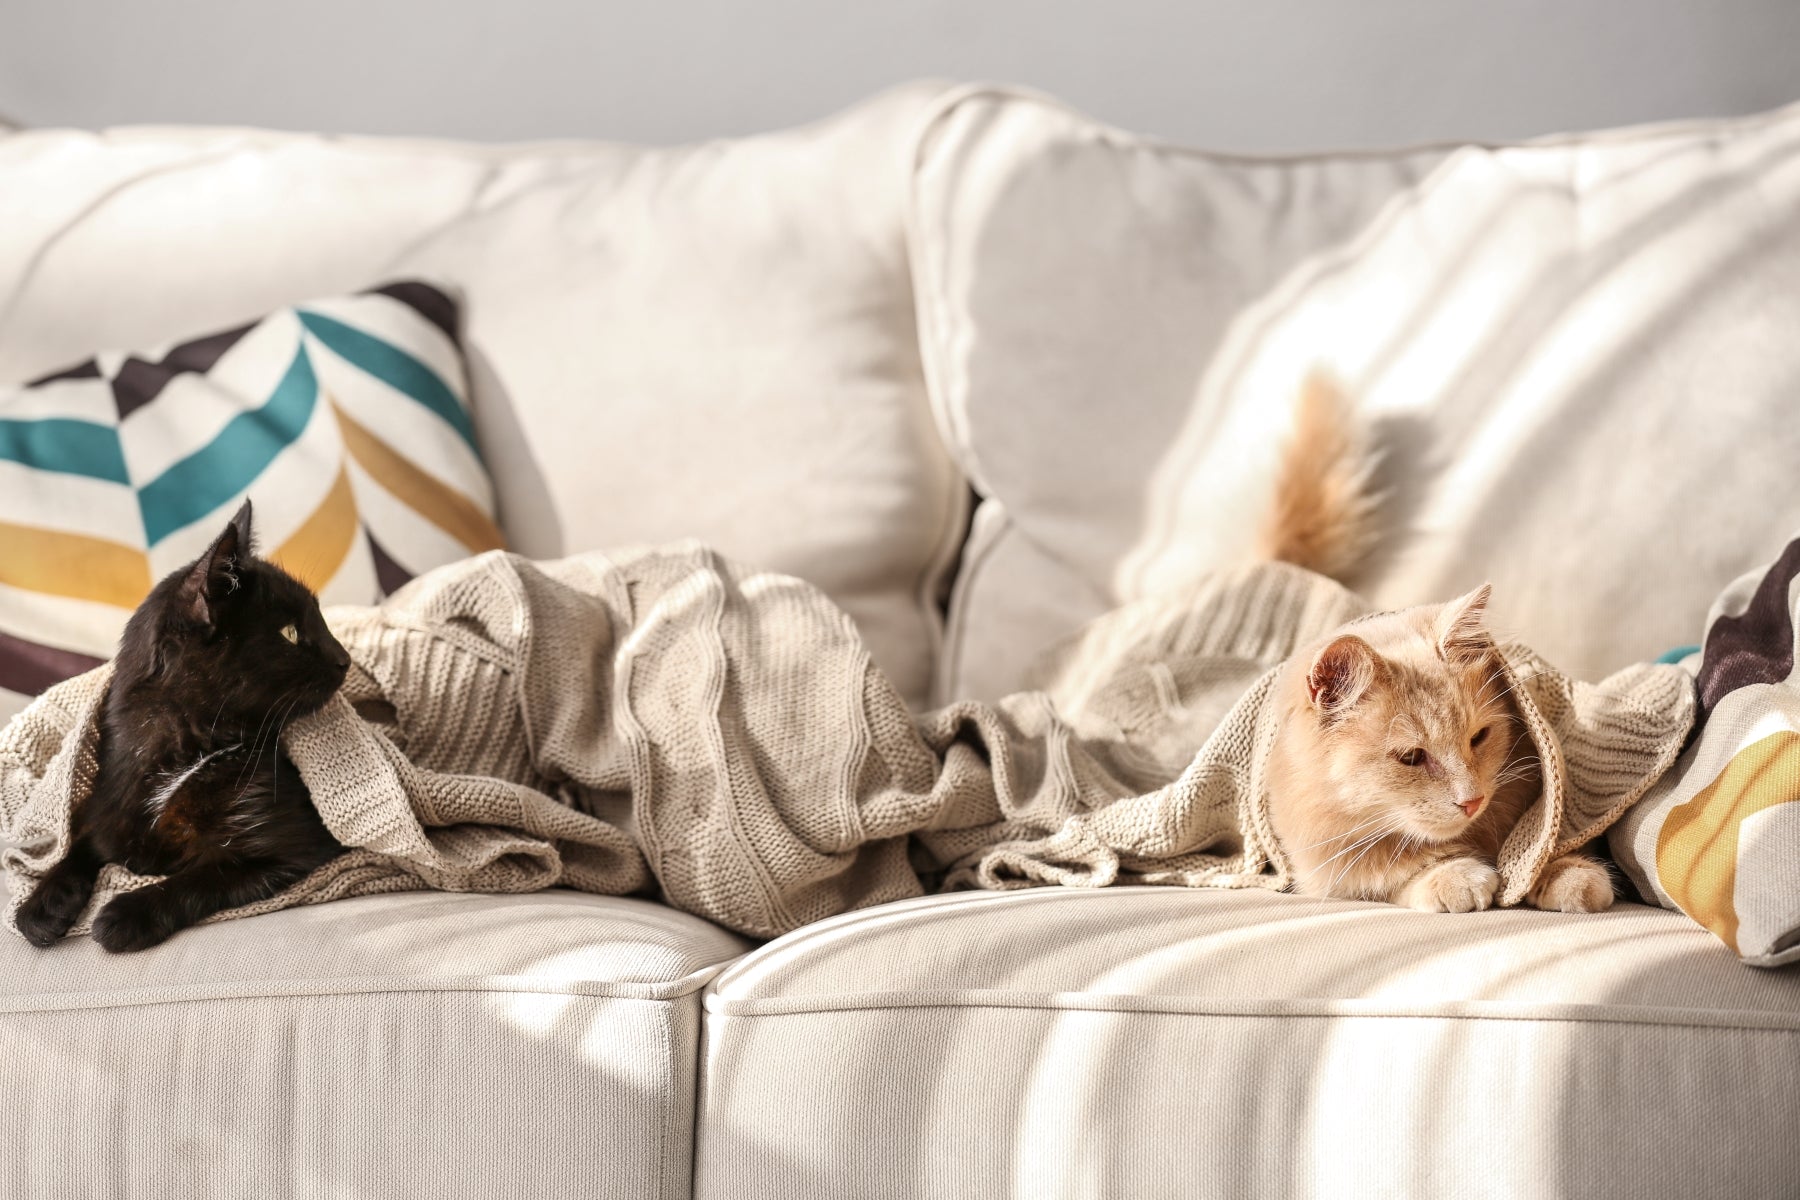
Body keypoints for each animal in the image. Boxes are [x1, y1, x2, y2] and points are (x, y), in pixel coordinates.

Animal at [17, 503, 351, 949]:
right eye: (291, 632)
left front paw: (124, 915)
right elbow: (75, 849)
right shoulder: (109, 818)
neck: (183, 755)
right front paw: (41, 906)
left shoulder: (291, 848)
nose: (346, 658)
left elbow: (200, 877)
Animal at [1252, 379, 1620, 913]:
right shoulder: (1324, 871)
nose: (1471, 800)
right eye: (1410, 758)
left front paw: (1566, 871)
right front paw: (1452, 876)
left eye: (1479, 737)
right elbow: (1389, 875)